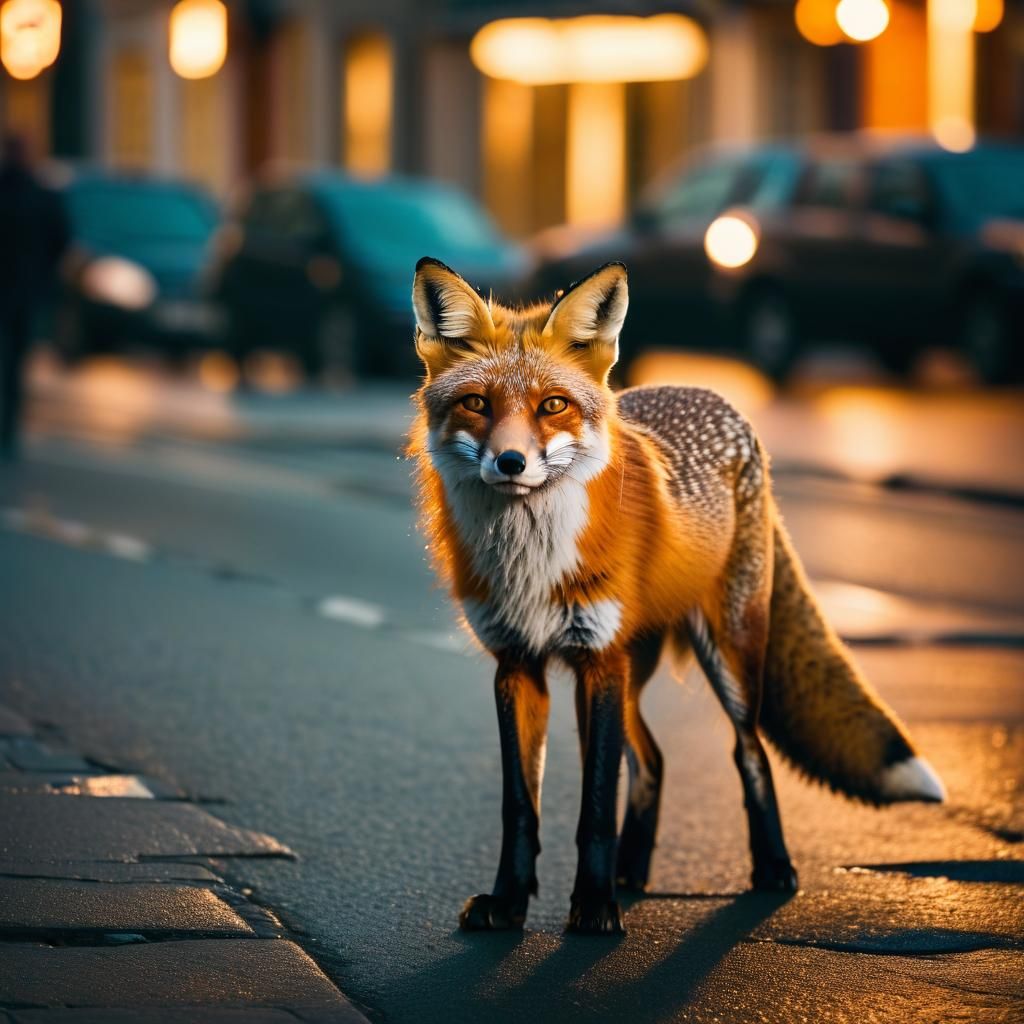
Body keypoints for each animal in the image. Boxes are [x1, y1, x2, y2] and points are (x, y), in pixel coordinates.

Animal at [409, 256, 946, 935]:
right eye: (476, 403)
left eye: (552, 405)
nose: (509, 462)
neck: (532, 558)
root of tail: (710, 391)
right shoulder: (518, 664)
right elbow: (521, 807)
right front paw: (509, 903)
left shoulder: (598, 660)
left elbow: (595, 808)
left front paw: (594, 906)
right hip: (625, 674)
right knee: (654, 760)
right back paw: (633, 873)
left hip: (726, 655)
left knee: (749, 753)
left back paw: (772, 869)